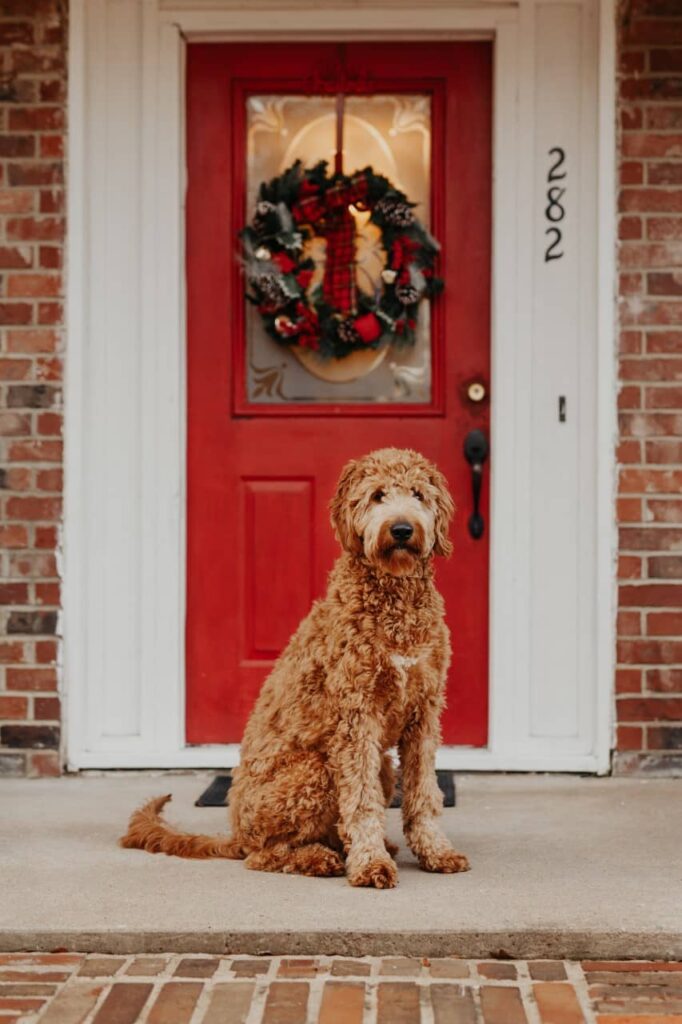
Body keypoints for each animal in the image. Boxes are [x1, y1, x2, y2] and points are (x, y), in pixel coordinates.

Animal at [119, 448, 466, 888]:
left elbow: (424, 793)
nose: (402, 529)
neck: (394, 600)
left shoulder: (424, 711)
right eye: (377, 496)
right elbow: (361, 801)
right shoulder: (355, 716)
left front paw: (436, 851)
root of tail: (236, 833)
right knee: (266, 854)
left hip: (383, 765)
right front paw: (370, 864)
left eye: (418, 494)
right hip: (314, 772)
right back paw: (318, 858)